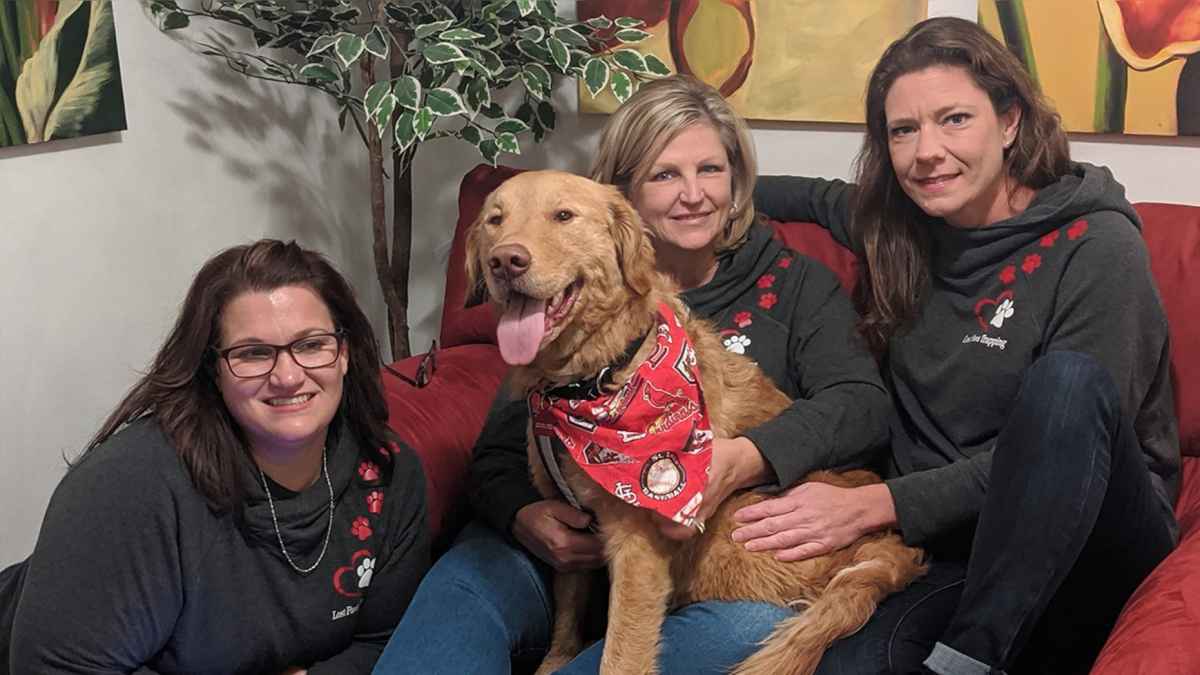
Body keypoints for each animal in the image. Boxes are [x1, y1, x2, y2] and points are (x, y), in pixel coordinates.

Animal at [463, 169, 921, 672]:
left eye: (563, 215)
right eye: (495, 220)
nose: (506, 261)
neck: (593, 379)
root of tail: (889, 546)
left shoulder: (639, 547)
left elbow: (621, 653)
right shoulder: (566, 518)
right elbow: (568, 600)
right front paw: (557, 657)